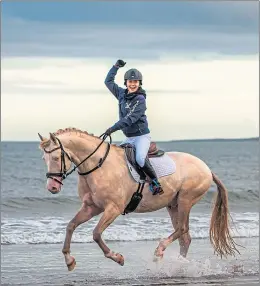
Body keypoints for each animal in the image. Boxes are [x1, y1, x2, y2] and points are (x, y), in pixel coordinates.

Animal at [37, 128, 241, 272]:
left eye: (56, 157)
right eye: (43, 158)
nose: (52, 187)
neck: (98, 165)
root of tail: (206, 168)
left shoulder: (113, 208)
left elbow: (96, 233)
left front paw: (117, 257)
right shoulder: (91, 207)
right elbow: (71, 226)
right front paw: (69, 260)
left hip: (185, 200)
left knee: (182, 230)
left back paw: (159, 251)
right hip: (173, 205)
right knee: (185, 238)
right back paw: (179, 264)